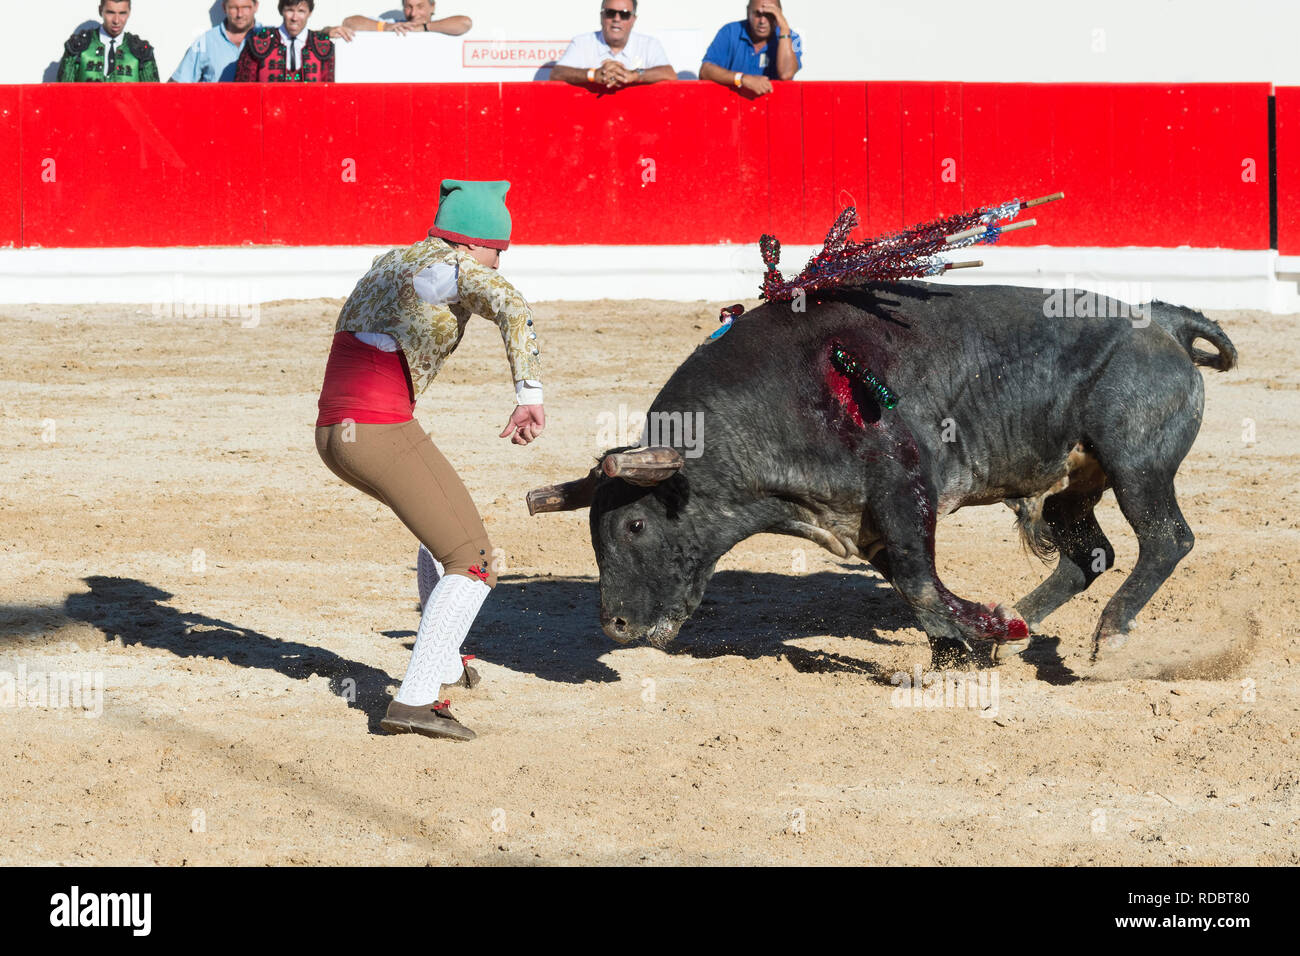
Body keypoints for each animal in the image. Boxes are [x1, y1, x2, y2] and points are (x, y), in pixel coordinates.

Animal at [527, 286, 1237, 665]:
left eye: (635, 525)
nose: (615, 627)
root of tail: (1162, 320)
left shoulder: (903, 491)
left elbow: (921, 584)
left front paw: (970, 638)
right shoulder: (867, 523)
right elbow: (914, 590)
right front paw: (965, 644)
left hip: (1138, 467)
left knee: (1166, 539)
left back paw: (1106, 637)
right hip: (1078, 482)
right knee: (1090, 551)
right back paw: (1019, 621)